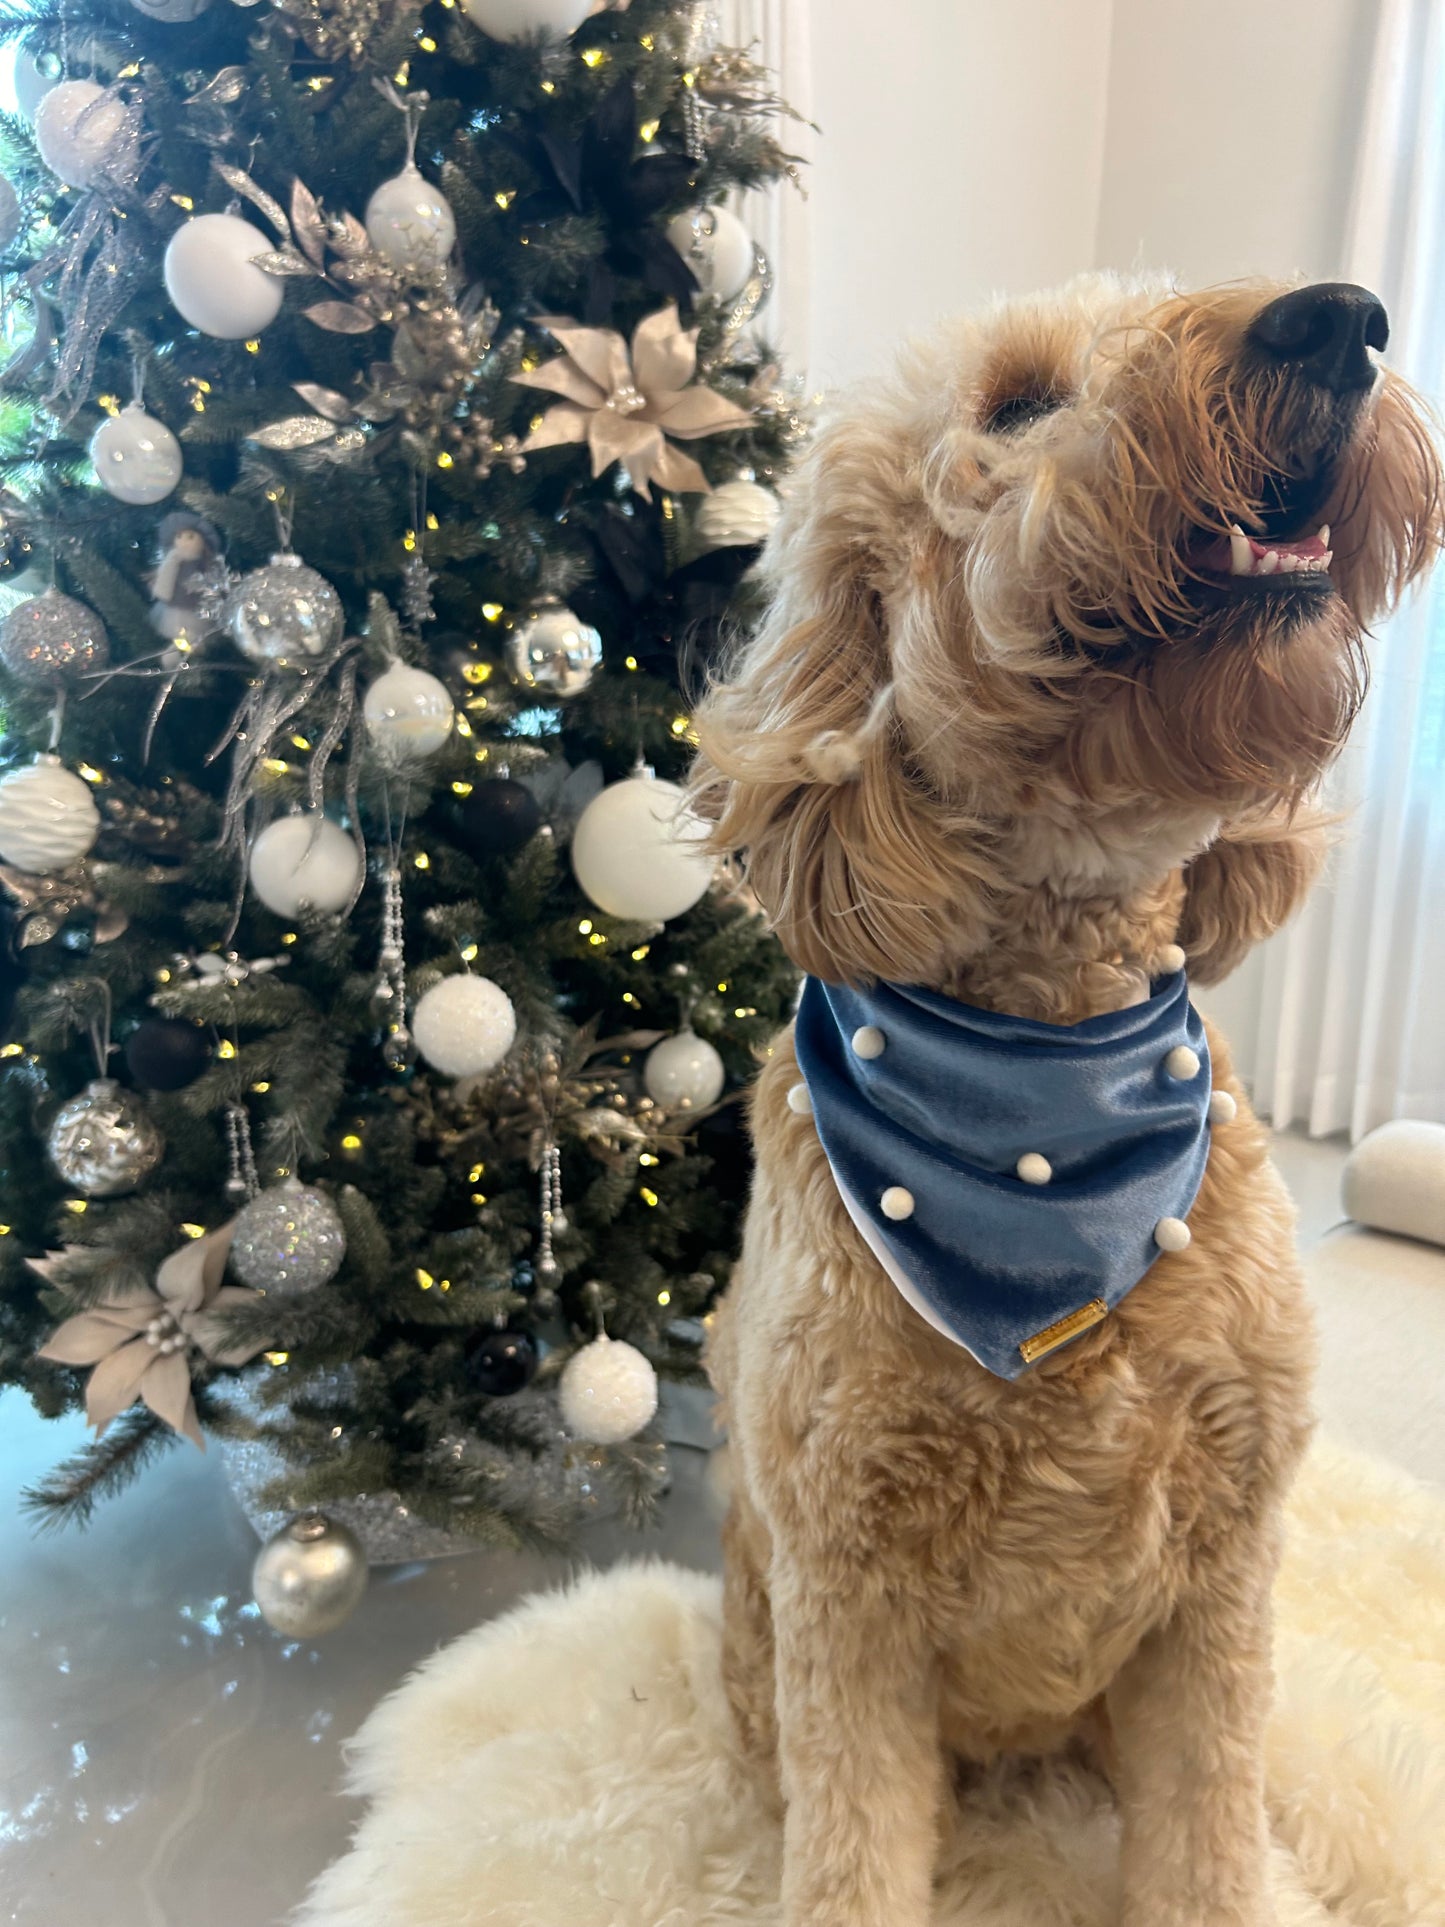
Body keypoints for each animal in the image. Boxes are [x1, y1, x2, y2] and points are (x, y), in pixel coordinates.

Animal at [697, 275, 1441, 1927]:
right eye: (1020, 406)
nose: (1340, 317)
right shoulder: (847, 1605)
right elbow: (850, 1856)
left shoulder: (1221, 1585)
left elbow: (1209, 1848)